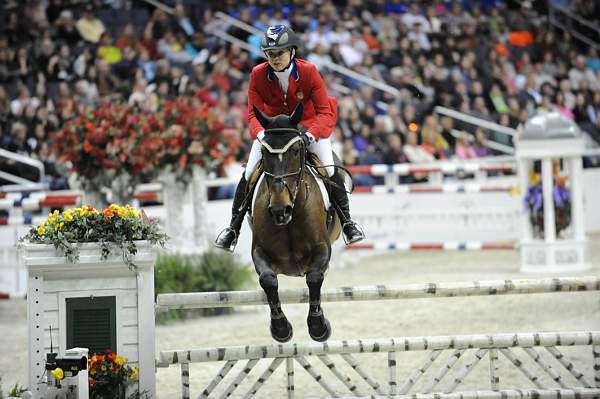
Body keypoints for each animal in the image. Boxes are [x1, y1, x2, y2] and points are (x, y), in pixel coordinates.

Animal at [248, 104, 342, 344]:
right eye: (264, 153)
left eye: (297, 150)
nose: (280, 210)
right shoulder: (259, 251)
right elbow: (268, 280)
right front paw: (281, 328)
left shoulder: (322, 247)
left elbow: (314, 276)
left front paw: (318, 326)